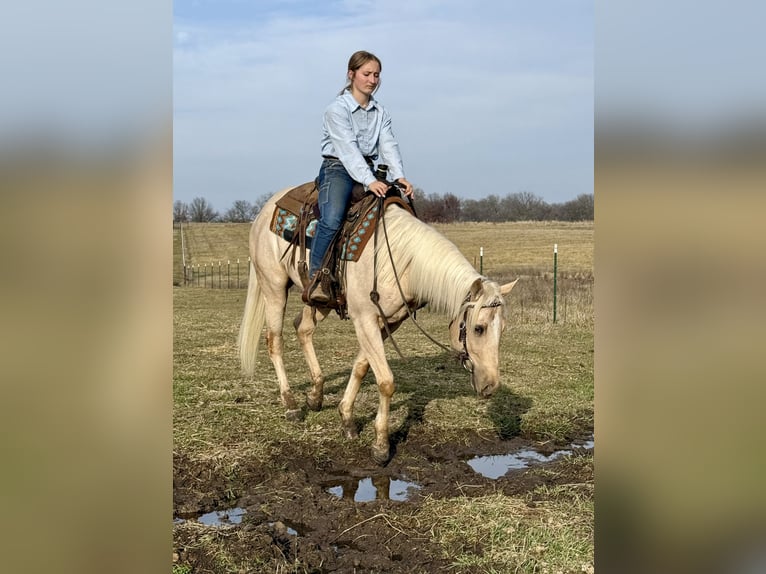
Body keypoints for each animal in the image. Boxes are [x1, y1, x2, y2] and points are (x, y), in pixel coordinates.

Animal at [238, 187, 516, 466]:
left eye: (503, 330)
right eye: (478, 328)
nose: (491, 386)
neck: (403, 261)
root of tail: (265, 210)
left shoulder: (388, 322)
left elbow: (362, 367)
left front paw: (347, 417)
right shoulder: (365, 319)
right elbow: (385, 381)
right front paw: (381, 445)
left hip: (318, 300)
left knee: (302, 328)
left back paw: (316, 394)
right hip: (273, 287)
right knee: (275, 341)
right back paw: (291, 405)